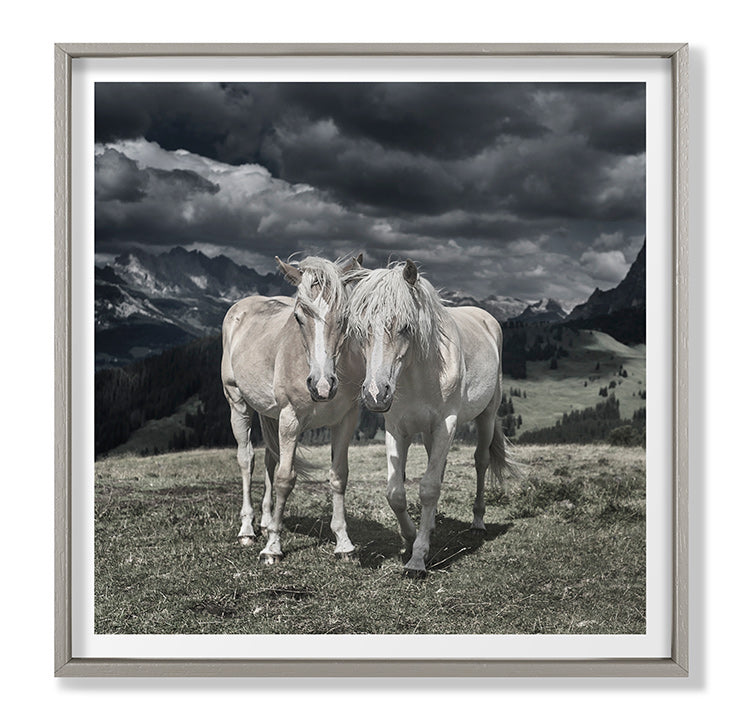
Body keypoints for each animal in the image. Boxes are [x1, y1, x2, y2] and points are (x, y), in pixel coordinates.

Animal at [221, 254, 364, 564]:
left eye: (344, 317)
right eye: (299, 317)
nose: (322, 385)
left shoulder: (346, 420)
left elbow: (339, 476)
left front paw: (344, 544)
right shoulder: (291, 419)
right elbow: (285, 478)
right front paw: (273, 547)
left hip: (269, 414)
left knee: (268, 460)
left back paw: (265, 521)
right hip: (238, 403)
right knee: (246, 459)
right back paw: (248, 530)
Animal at [347, 259, 516, 577]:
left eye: (405, 327)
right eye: (360, 329)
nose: (375, 393)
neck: (419, 374)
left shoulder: (445, 425)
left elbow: (428, 488)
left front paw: (418, 558)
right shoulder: (396, 428)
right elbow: (396, 492)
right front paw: (410, 536)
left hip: (486, 416)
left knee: (481, 461)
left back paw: (478, 521)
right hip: (427, 433)